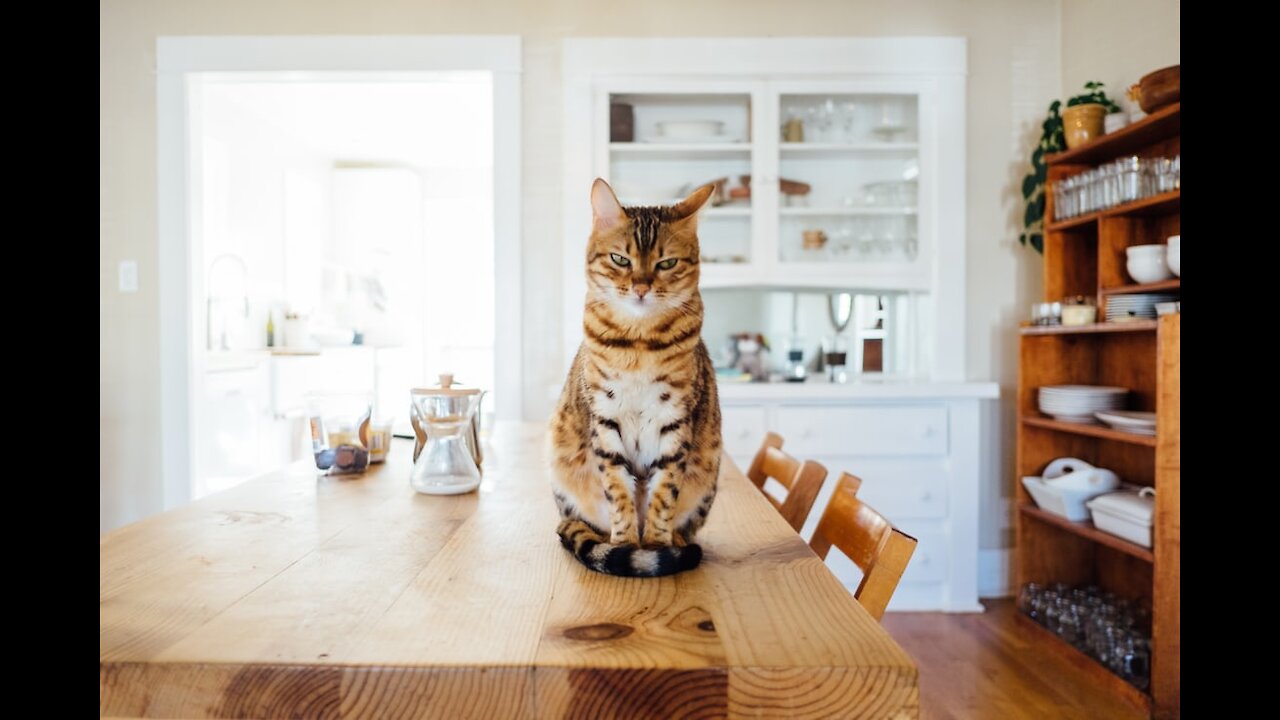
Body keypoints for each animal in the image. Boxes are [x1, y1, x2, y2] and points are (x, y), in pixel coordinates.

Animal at [547, 179, 721, 576]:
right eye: (620, 259)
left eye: (667, 263)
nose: (641, 287)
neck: (639, 344)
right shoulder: (605, 418)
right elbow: (618, 491)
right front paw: (625, 545)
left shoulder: (675, 421)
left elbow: (664, 493)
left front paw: (656, 545)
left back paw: (676, 542)